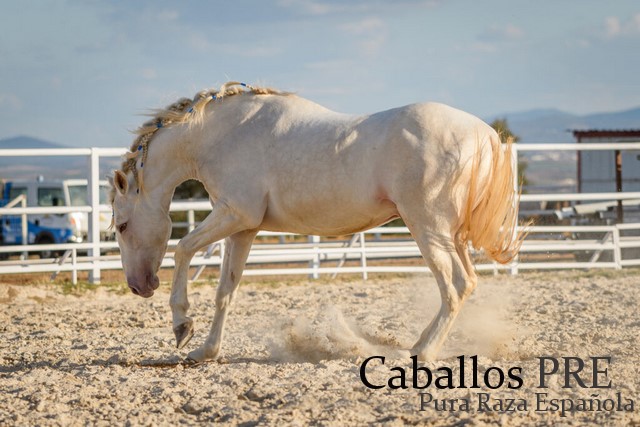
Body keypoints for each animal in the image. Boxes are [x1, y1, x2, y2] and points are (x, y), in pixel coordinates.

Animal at [108, 81, 523, 363]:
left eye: (122, 226)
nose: (139, 286)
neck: (224, 134)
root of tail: (483, 135)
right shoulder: (243, 229)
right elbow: (225, 291)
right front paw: (206, 351)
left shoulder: (234, 214)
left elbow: (182, 248)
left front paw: (182, 326)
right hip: (451, 235)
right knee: (466, 283)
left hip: (429, 229)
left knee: (455, 286)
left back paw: (421, 351)